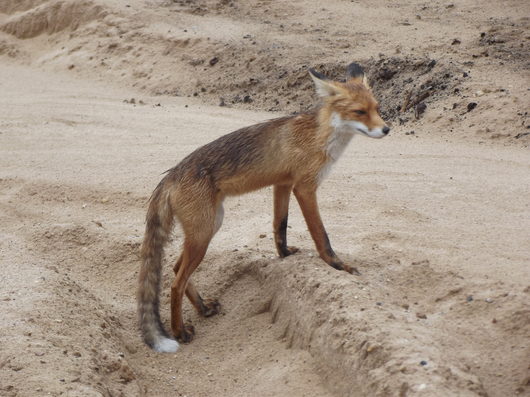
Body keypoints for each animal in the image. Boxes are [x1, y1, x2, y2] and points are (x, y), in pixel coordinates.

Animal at [138, 62, 390, 352]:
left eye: (377, 108)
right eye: (360, 112)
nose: (387, 129)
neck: (319, 135)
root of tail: (170, 176)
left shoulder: (283, 184)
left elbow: (280, 226)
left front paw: (284, 255)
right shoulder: (305, 188)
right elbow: (321, 236)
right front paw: (338, 266)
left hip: (210, 226)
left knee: (177, 268)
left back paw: (203, 308)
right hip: (203, 233)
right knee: (175, 284)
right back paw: (179, 331)